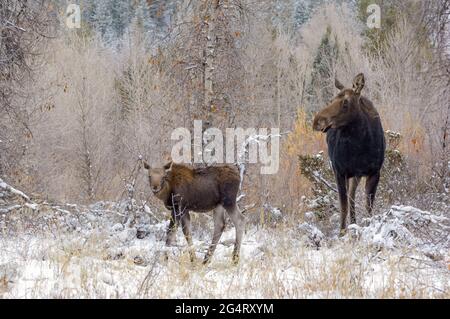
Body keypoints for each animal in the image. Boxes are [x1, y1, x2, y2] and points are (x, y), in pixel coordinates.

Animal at [312, 74, 386, 235]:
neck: (360, 146)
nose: (317, 121)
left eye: (345, 102)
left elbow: (368, 207)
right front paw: (342, 232)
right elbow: (343, 206)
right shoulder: (340, 172)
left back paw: (354, 222)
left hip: (357, 175)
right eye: (332, 99)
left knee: (352, 195)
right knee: (349, 197)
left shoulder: (374, 172)